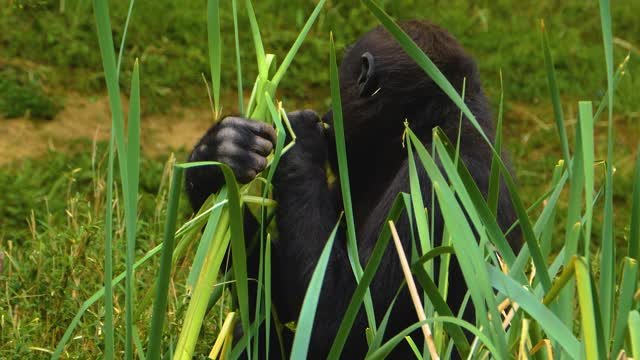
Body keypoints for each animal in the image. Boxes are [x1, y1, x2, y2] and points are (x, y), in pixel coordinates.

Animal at [184, 20, 516, 360]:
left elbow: (343, 319)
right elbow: (281, 294)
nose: (327, 115)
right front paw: (216, 155)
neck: (428, 125)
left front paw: (300, 140)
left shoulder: (436, 181)